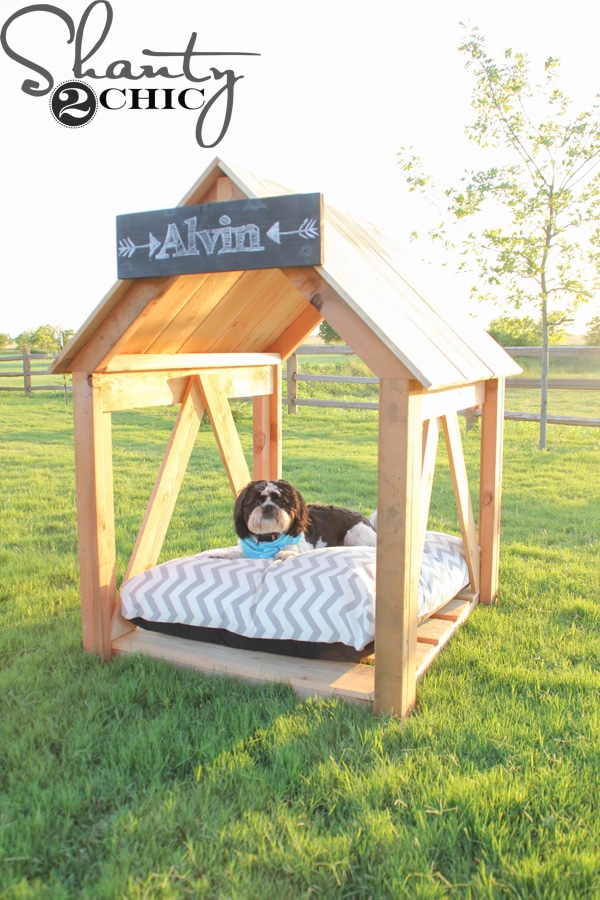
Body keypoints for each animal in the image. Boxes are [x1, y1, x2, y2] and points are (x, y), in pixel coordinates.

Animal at [209, 482, 378, 560]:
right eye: (256, 502)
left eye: (281, 502)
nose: (269, 506)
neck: (268, 538)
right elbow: (236, 552)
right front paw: (220, 554)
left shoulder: (304, 544)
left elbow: (292, 547)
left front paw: (285, 552)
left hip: (355, 532)